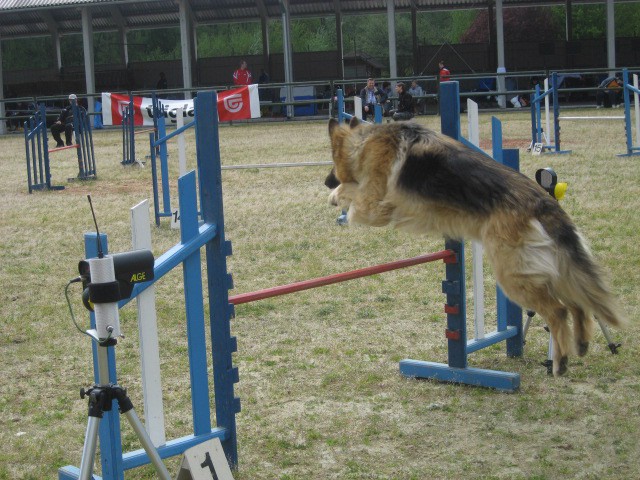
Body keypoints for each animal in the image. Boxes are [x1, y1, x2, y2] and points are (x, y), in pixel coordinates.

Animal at [324, 118, 624, 376]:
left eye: (331, 164)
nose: (326, 181)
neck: (364, 142)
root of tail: (544, 202)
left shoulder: (373, 208)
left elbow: (353, 194)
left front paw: (336, 196)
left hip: (513, 276)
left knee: (559, 310)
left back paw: (560, 361)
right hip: (550, 269)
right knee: (578, 303)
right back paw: (581, 344)